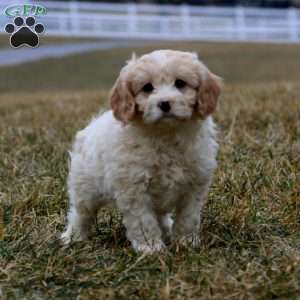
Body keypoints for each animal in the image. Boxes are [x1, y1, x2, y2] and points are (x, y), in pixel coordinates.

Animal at [61, 49, 221, 253]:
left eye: (180, 83)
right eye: (147, 87)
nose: (164, 103)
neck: (166, 134)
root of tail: (92, 125)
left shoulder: (195, 185)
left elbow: (188, 218)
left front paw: (186, 242)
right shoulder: (134, 189)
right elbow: (143, 221)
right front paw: (151, 248)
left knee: (160, 215)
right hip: (85, 189)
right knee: (81, 214)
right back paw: (73, 238)